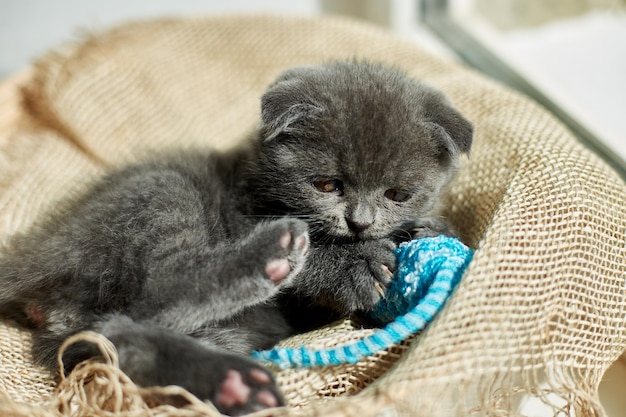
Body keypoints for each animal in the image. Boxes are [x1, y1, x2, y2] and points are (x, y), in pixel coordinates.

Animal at [0, 60, 468, 414]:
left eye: (397, 194)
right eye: (327, 185)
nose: (360, 222)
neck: (254, 182)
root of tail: (36, 257)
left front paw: (428, 228)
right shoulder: (240, 215)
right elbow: (316, 255)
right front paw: (353, 266)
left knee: (118, 337)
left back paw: (234, 383)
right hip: (164, 191)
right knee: (158, 290)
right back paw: (269, 258)